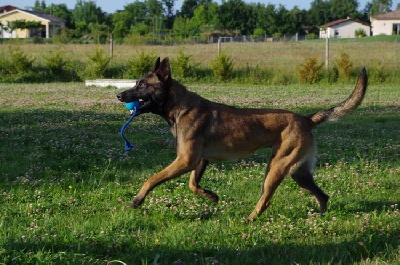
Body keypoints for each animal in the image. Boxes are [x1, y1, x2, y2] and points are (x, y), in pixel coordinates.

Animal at [115, 56, 366, 220]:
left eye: (141, 84)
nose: (118, 95)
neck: (179, 107)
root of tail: (306, 119)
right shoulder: (198, 160)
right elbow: (192, 184)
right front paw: (211, 196)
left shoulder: (185, 160)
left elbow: (152, 178)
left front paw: (137, 200)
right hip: (299, 173)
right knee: (323, 195)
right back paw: (320, 217)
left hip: (275, 169)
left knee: (266, 199)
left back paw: (250, 219)